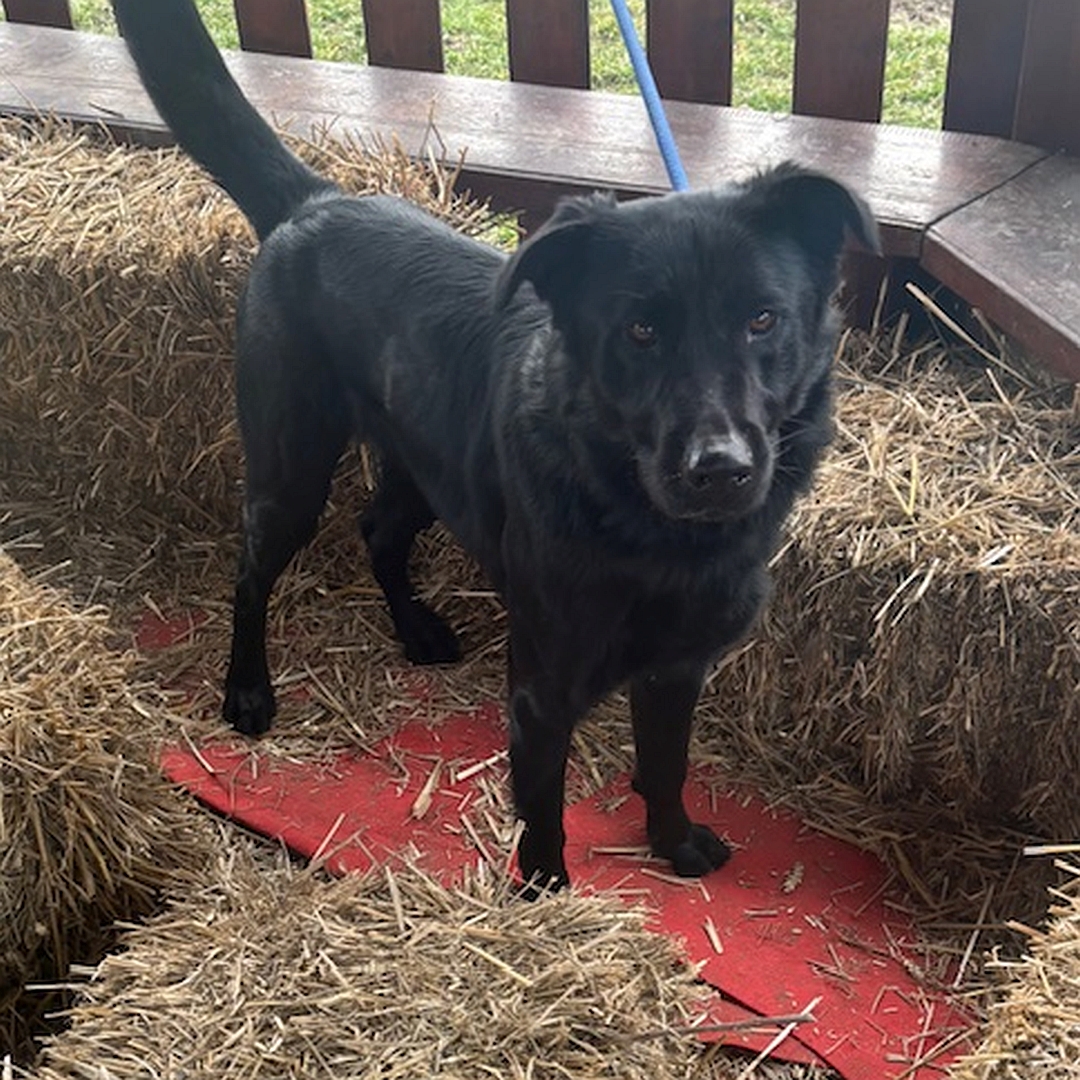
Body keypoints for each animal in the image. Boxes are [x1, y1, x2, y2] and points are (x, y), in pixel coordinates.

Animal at [116, 0, 876, 885]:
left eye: (762, 319)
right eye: (640, 332)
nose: (719, 470)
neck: (644, 527)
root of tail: (316, 201)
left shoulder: (678, 668)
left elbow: (666, 764)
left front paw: (675, 842)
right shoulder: (543, 688)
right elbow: (543, 812)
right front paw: (546, 898)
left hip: (423, 466)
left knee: (377, 530)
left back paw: (415, 630)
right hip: (290, 468)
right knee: (250, 573)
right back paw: (246, 691)